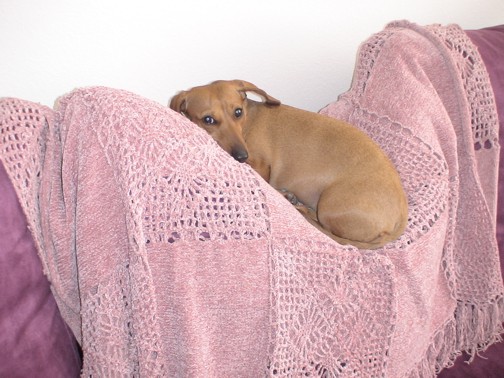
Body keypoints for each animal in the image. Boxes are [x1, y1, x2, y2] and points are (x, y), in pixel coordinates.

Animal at [171, 79, 408, 250]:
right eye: (208, 120)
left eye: (237, 112)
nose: (241, 156)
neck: (248, 123)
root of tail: (400, 215)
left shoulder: (262, 166)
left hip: (329, 207)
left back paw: (298, 205)